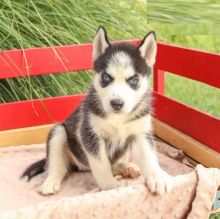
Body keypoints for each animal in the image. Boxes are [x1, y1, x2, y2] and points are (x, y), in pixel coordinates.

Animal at [21, 26, 173, 196]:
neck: (117, 118)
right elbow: (102, 165)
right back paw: (51, 181)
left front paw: (158, 177)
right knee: (57, 166)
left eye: (133, 80)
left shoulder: (140, 133)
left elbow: (149, 158)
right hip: (59, 133)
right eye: (106, 77)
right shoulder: (90, 134)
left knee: (114, 164)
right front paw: (110, 186)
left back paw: (126, 168)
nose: (117, 104)